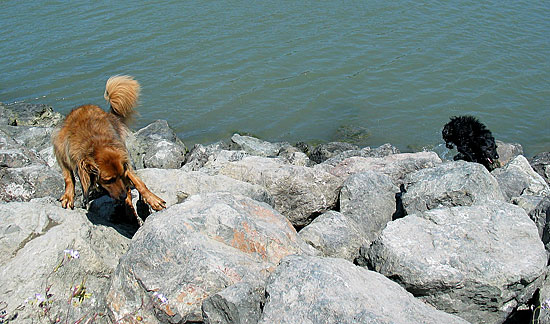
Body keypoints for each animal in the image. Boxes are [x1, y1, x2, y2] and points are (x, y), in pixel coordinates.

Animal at [53, 75, 166, 224]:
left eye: (120, 175)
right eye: (108, 180)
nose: (122, 196)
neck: (95, 143)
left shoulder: (125, 164)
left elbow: (139, 183)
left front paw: (153, 199)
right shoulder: (61, 153)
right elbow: (68, 177)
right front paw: (68, 196)